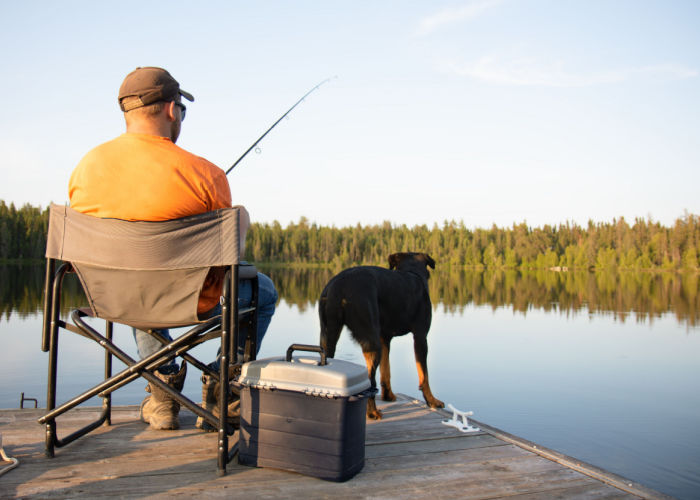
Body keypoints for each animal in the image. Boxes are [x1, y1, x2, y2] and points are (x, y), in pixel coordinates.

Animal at [318, 252, 442, 420]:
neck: (412, 272)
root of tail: (339, 285)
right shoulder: (421, 336)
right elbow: (424, 375)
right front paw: (432, 401)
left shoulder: (385, 338)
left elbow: (386, 371)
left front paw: (388, 395)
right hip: (371, 342)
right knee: (369, 381)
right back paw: (372, 411)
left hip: (328, 337)